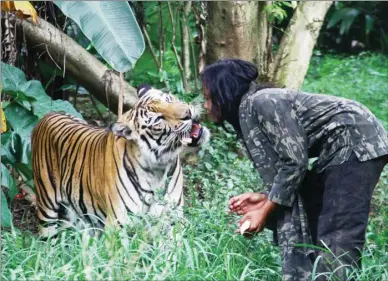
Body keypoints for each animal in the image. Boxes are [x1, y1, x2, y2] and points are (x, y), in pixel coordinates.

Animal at [31, 85, 209, 236]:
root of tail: (49, 113)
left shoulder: (173, 221)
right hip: (47, 208)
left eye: (169, 99)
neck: (159, 168)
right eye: (159, 119)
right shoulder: (118, 225)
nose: (188, 113)